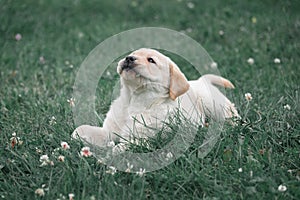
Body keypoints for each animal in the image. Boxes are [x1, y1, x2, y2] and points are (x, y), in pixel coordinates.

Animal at [71, 47, 238, 146]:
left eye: (151, 60)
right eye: (132, 54)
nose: (129, 58)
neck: (132, 101)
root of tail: (202, 80)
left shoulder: (139, 138)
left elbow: (121, 149)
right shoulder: (109, 131)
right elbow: (82, 129)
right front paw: (74, 138)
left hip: (215, 105)